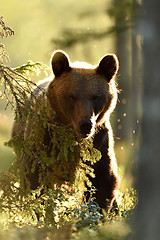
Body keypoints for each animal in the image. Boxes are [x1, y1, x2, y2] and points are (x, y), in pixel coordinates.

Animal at [11, 50, 119, 210]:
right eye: (71, 96)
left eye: (95, 97)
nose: (85, 124)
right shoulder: (44, 139)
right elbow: (35, 178)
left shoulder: (99, 142)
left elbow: (102, 180)